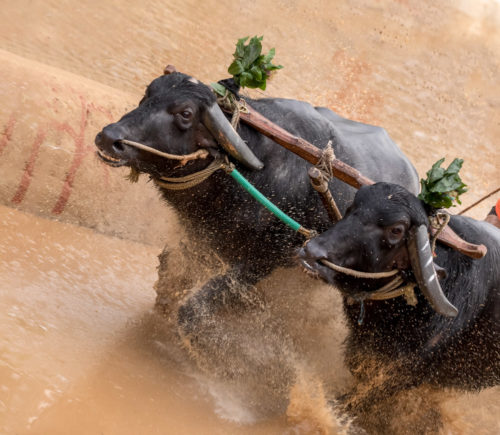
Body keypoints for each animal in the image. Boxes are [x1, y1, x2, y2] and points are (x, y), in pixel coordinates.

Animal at [94, 71, 418, 338]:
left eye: (185, 113)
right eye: (149, 92)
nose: (109, 137)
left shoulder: (262, 263)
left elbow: (192, 308)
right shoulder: (197, 239)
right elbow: (167, 284)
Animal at [298, 183, 498, 430]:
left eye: (396, 230)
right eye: (352, 207)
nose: (312, 252)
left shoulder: (407, 374)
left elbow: (360, 399)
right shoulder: (363, 343)